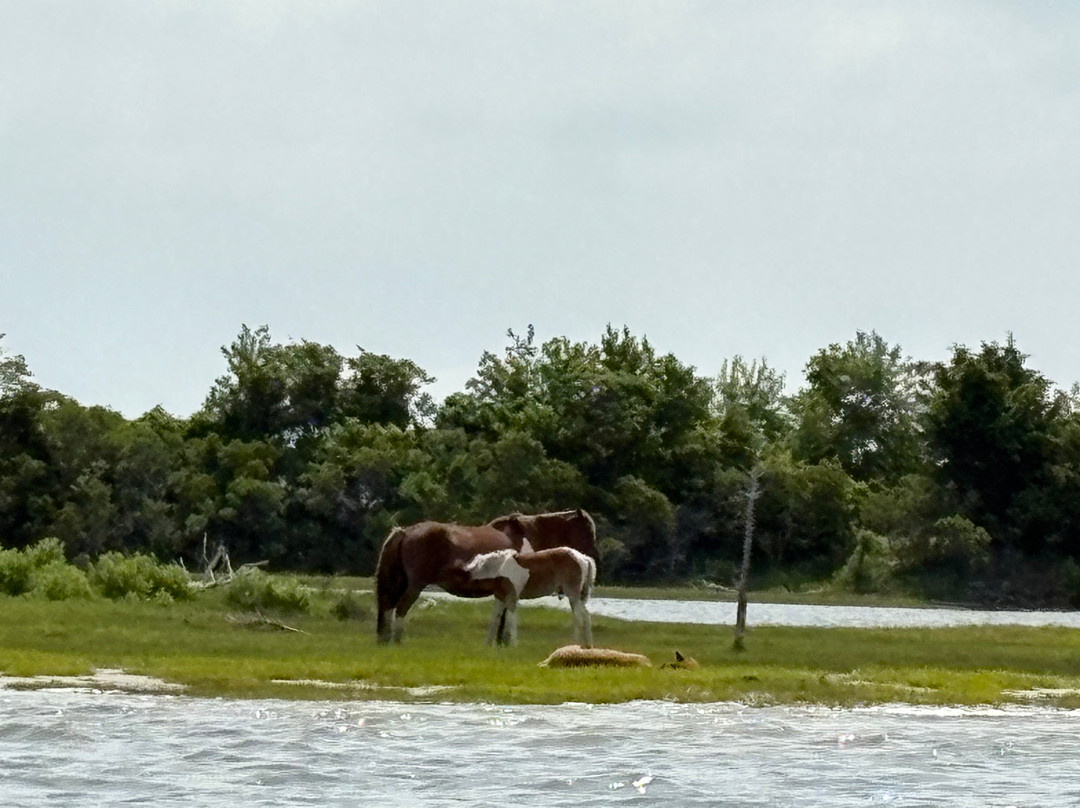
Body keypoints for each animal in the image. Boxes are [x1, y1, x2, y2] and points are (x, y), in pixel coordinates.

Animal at [462, 547, 596, 647]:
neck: (501, 568)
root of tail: (583, 558)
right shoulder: (500, 598)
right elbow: (495, 618)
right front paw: (488, 644)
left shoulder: (512, 598)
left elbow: (511, 618)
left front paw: (512, 644)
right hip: (577, 598)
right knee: (586, 616)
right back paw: (587, 645)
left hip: (572, 595)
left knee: (578, 616)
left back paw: (574, 643)